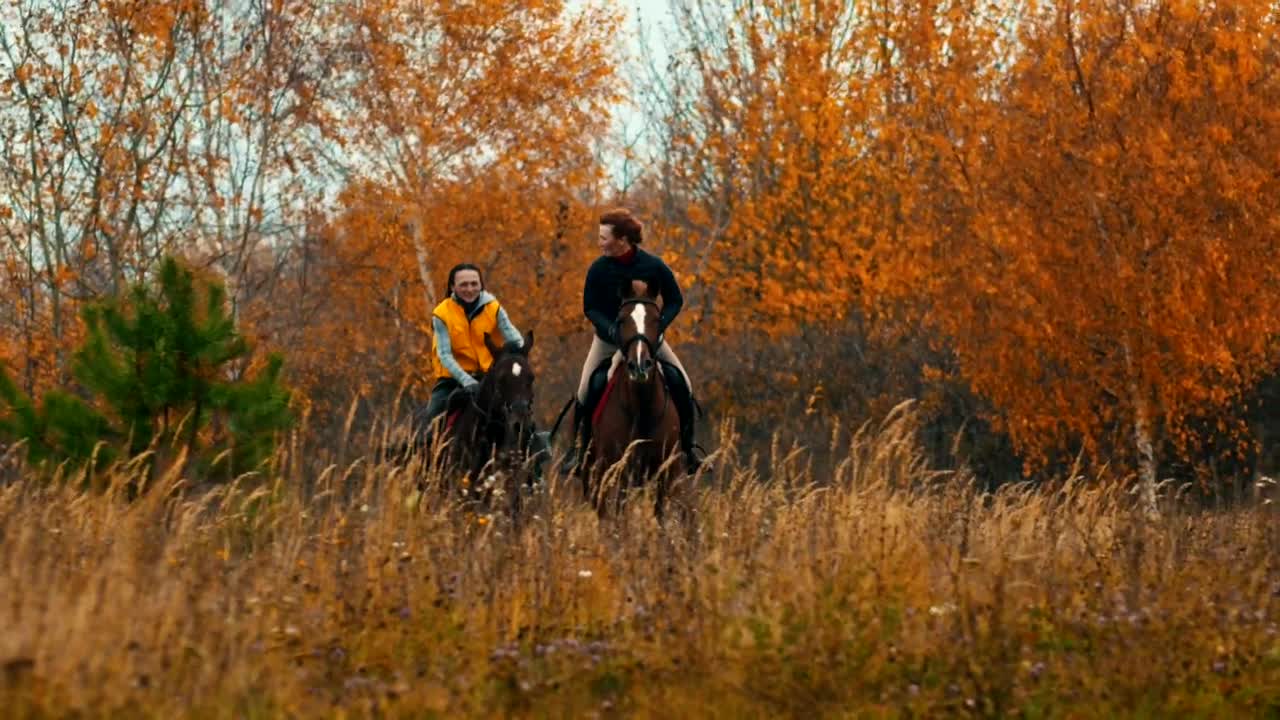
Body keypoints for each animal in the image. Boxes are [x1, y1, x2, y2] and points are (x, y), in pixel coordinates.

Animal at [582, 281, 684, 519]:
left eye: (656, 319)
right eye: (621, 320)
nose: (639, 366)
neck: (641, 408)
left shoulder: (665, 472)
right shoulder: (619, 472)